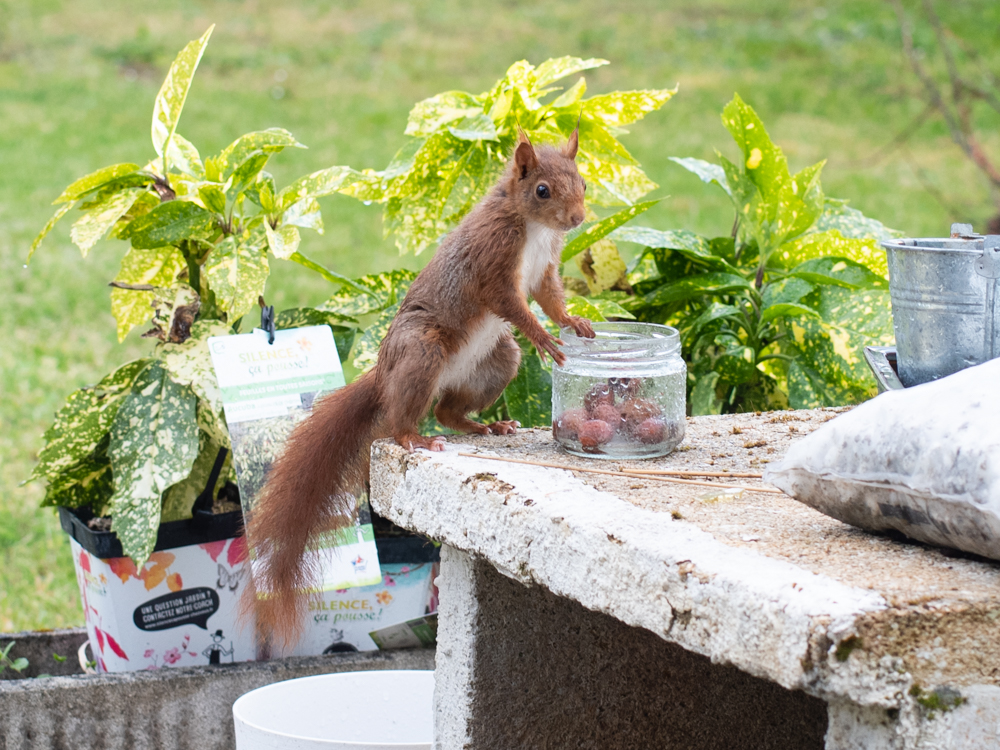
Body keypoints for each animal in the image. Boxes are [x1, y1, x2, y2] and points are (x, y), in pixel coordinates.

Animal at [246, 129, 596, 648]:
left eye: (584, 183)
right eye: (542, 190)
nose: (576, 220)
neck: (530, 227)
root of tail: (385, 370)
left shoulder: (545, 267)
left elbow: (550, 297)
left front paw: (574, 323)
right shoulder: (492, 262)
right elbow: (511, 302)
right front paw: (543, 338)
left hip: (497, 361)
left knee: (449, 409)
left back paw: (487, 427)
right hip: (423, 351)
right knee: (399, 419)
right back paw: (416, 437)